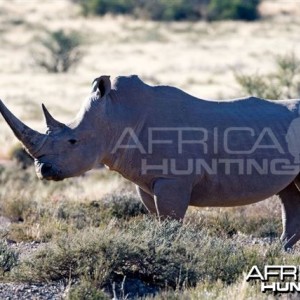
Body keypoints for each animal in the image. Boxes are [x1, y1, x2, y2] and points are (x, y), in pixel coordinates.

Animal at [0, 75, 300, 248]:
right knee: (288, 194)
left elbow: (170, 222)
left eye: (72, 141)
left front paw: (171, 250)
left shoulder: (172, 179)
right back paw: (278, 254)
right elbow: (158, 219)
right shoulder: (145, 181)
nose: (43, 170)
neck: (118, 116)